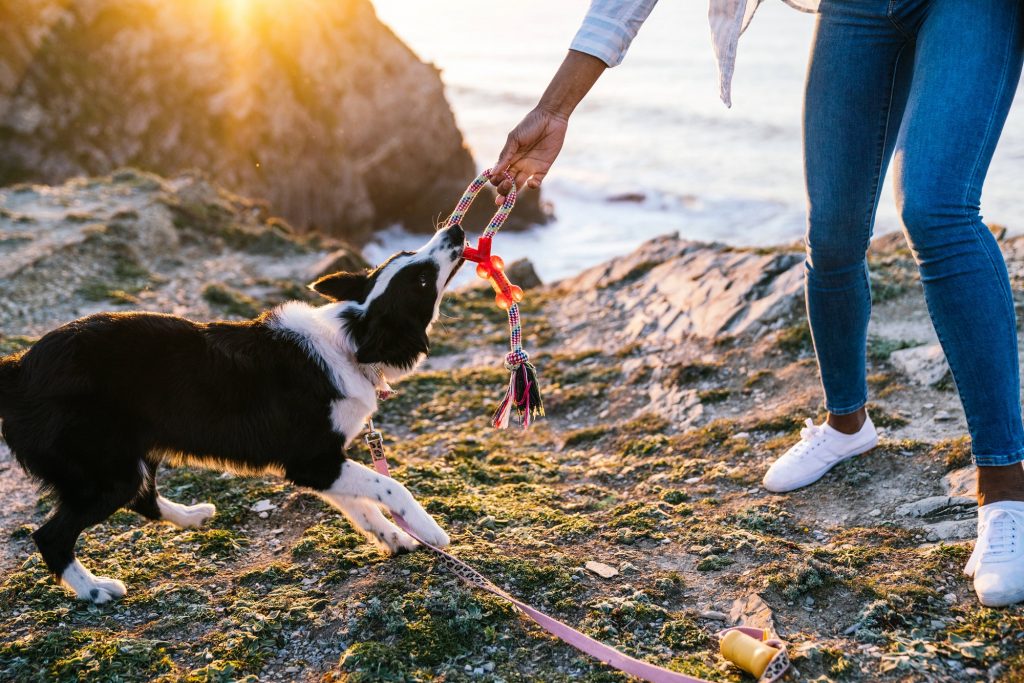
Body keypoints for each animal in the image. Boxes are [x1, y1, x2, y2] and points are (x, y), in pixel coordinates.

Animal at [0, 224, 464, 602]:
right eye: (422, 279)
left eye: (407, 255)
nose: (457, 230)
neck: (352, 336)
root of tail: (19, 367)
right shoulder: (312, 462)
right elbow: (389, 488)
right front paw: (426, 529)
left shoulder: (321, 465)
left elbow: (361, 505)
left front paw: (393, 537)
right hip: (106, 473)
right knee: (51, 536)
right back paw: (95, 589)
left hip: (131, 455)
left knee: (143, 498)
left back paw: (190, 516)